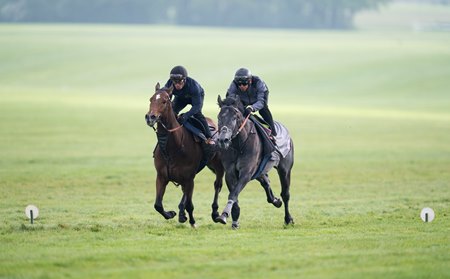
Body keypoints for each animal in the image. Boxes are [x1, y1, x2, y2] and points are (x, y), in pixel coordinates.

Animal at [145, 82, 224, 228]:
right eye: (151, 99)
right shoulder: (161, 176)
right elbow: (158, 205)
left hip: (218, 165)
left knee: (217, 185)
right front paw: (171, 213)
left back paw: (215, 213)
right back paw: (181, 213)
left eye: (164, 101)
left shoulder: (189, 178)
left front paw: (193, 222)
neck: (171, 148)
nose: (150, 117)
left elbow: (189, 205)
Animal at [215, 95, 296, 229]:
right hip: (259, 171)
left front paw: (224, 215)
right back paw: (276, 201)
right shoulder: (230, 173)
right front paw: (235, 220)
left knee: (285, 194)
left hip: (285, 169)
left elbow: (233, 194)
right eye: (219, 117)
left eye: (235, 117)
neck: (239, 145)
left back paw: (288, 218)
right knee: (266, 182)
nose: (223, 140)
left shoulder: (246, 172)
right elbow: (234, 194)